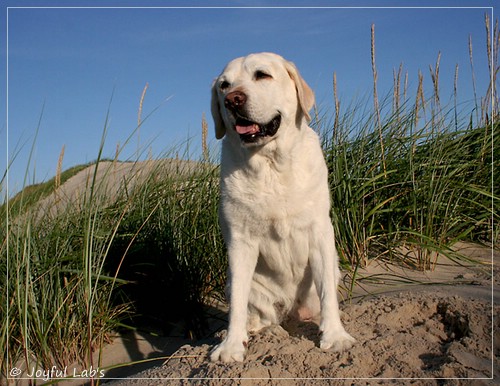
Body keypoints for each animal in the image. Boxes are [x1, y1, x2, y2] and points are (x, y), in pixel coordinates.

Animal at [211, 52, 356, 362]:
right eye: (224, 85)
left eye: (262, 75)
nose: (232, 100)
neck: (270, 164)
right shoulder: (240, 241)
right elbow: (238, 304)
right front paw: (230, 346)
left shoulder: (320, 231)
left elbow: (328, 294)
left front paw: (335, 337)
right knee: (258, 314)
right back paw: (261, 330)